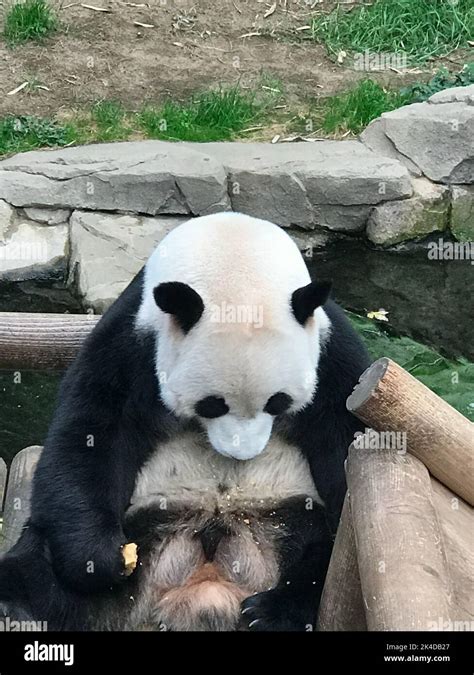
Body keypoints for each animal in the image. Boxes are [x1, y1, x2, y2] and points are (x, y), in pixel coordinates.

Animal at [0, 213, 370, 632]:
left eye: (278, 402)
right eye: (213, 405)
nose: (241, 455)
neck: (234, 254)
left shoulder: (330, 349)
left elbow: (345, 438)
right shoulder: (133, 338)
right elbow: (91, 431)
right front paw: (102, 560)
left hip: (285, 514)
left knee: (319, 551)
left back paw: (272, 610)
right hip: (146, 518)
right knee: (35, 566)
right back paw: (16, 602)